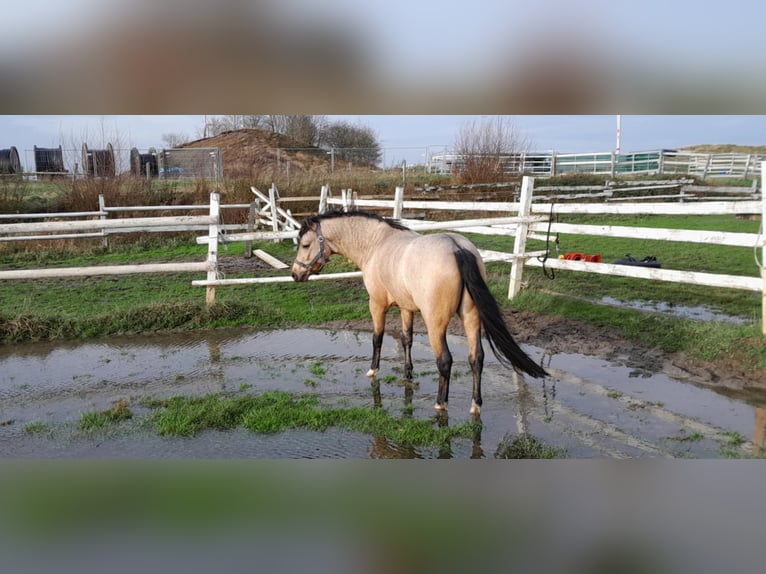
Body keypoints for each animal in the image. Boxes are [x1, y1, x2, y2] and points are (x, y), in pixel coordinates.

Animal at [292, 210, 548, 414]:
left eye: (305, 245)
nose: (296, 274)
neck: (376, 244)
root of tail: (457, 248)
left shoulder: (376, 304)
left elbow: (377, 337)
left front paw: (373, 370)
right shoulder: (407, 308)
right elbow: (407, 339)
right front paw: (408, 375)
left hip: (435, 323)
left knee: (445, 360)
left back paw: (440, 403)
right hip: (471, 318)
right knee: (476, 358)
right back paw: (475, 405)